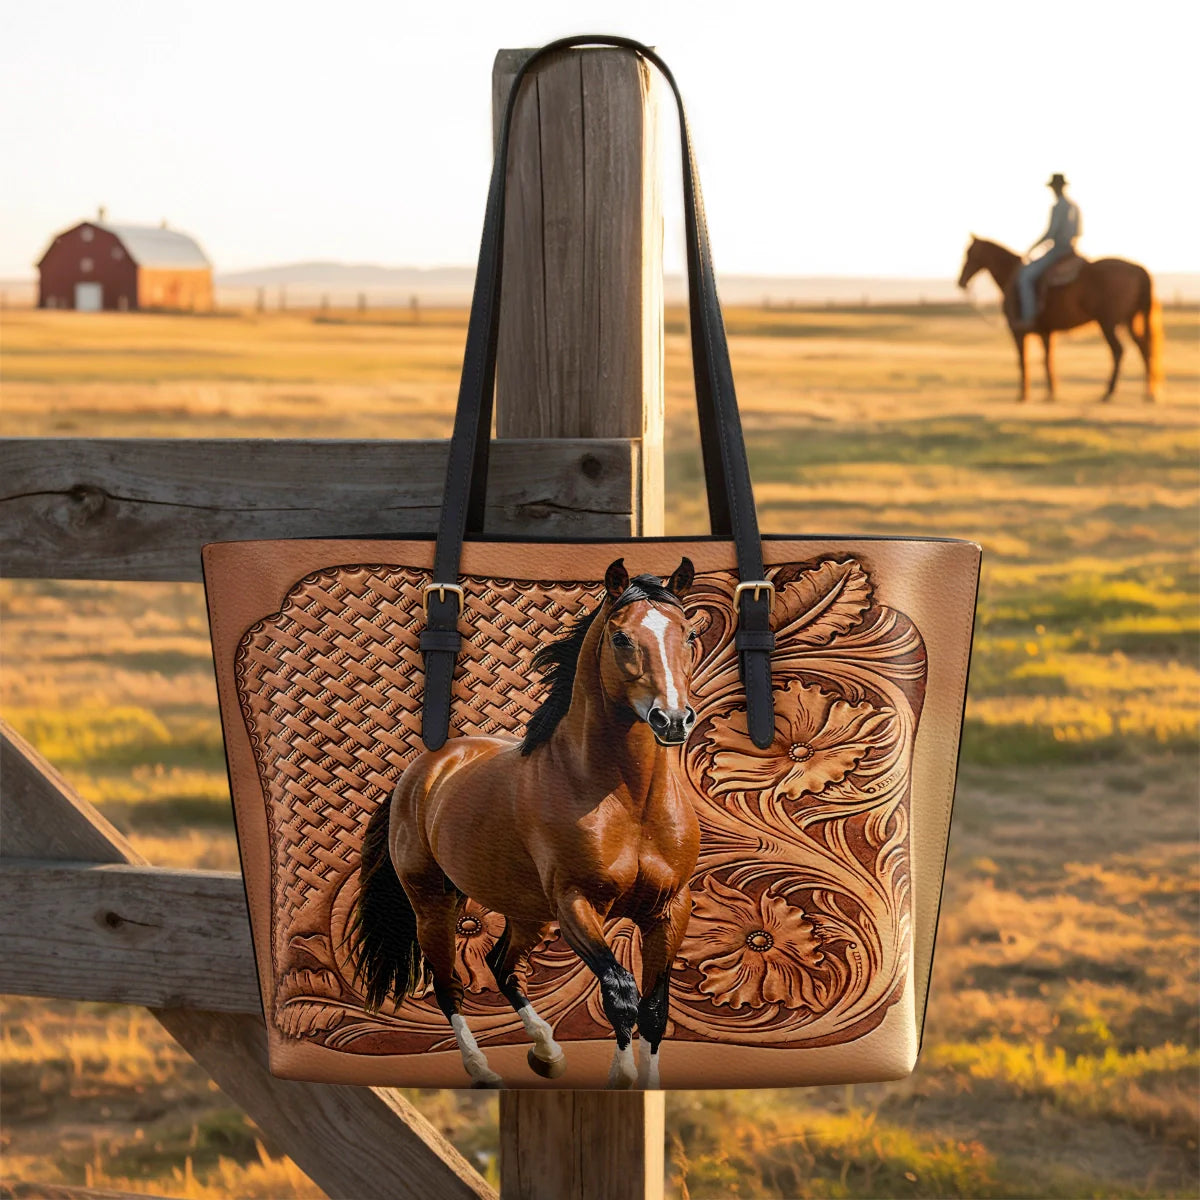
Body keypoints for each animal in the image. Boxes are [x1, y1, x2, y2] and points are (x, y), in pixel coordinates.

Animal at [349, 557, 701, 1089]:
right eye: (621, 638)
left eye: (688, 632)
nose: (673, 720)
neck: (630, 803)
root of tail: (424, 769)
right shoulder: (577, 904)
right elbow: (620, 993)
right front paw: (621, 1077)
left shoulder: (669, 909)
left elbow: (656, 1009)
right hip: (434, 904)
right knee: (447, 983)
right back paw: (481, 1068)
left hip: (528, 915)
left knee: (500, 965)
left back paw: (547, 1052)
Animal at [957, 236, 1161, 403]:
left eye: (969, 253)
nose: (961, 282)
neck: (1011, 278)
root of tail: (1138, 268)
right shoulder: (1045, 332)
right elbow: (1047, 360)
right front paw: (1050, 392)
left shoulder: (1018, 332)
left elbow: (1023, 361)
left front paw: (1023, 395)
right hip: (1130, 320)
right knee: (1143, 347)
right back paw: (1148, 392)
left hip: (1108, 323)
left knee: (1118, 351)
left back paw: (1108, 392)